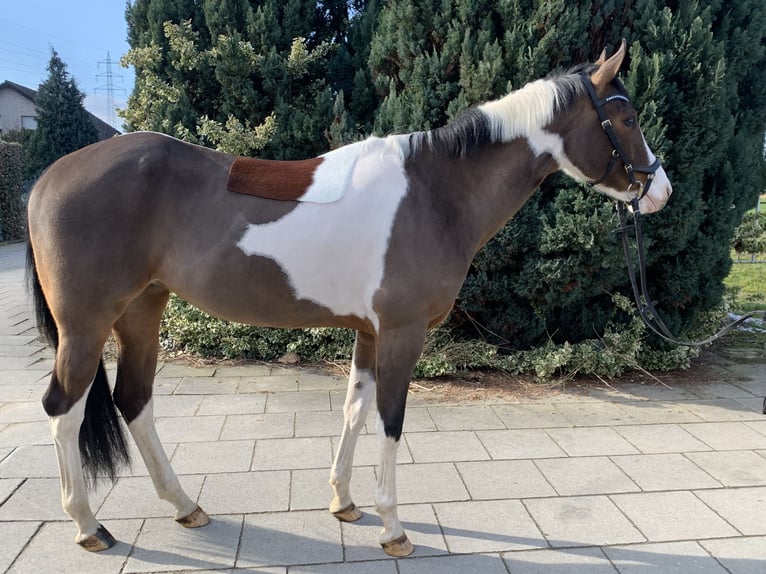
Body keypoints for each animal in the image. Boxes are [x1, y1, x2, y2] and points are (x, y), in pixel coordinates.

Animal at [25, 41, 672, 560]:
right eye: (627, 116)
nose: (660, 190)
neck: (435, 193)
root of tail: (49, 176)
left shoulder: (369, 332)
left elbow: (355, 410)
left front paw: (344, 502)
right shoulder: (404, 332)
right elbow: (390, 418)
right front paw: (393, 528)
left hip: (142, 311)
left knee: (134, 402)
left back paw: (184, 505)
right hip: (86, 326)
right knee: (64, 410)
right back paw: (88, 525)